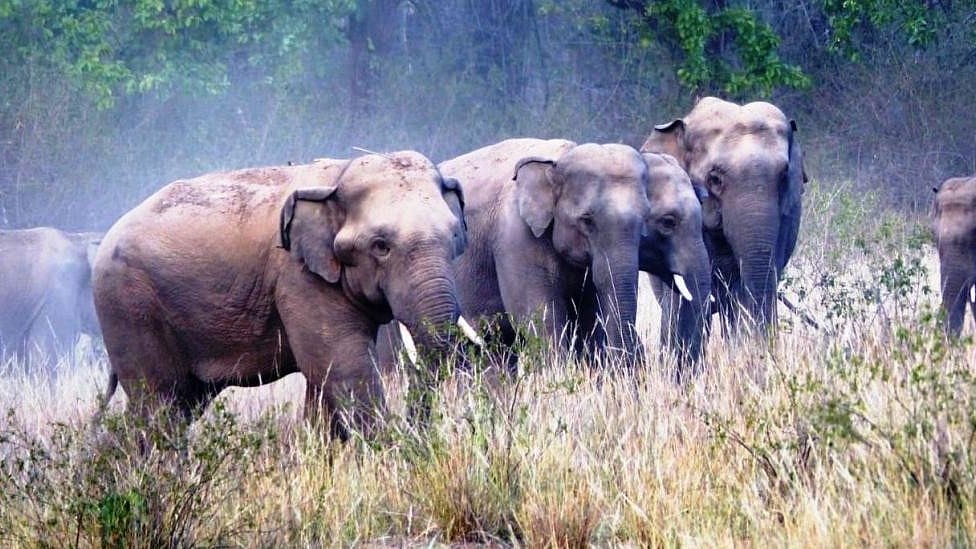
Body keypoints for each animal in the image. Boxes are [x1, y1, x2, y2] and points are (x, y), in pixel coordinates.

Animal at [93, 151, 478, 440]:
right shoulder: (299, 278)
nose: (419, 429)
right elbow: (343, 364)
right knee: (159, 401)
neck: (339, 175)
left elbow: (324, 380)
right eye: (381, 246)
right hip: (129, 306)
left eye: (455, 236)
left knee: (182, 402)